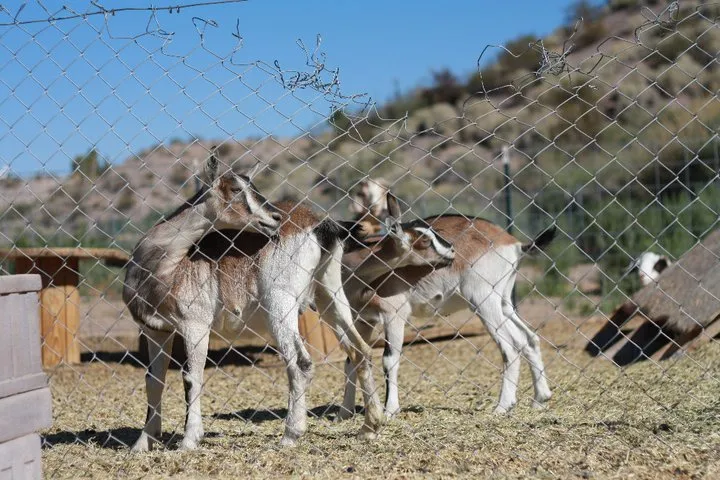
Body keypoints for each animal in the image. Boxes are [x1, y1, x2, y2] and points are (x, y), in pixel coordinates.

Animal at [340, 189, 555, 418]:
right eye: (424, 240)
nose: (451, 250)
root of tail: (513, 243)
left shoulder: (394, 316)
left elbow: (389, 360)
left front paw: (389, 411)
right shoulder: (363, 321)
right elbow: (352, 360)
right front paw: (344, 412)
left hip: (483, 303)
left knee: (510, 347)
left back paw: (502, 406)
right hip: (503, 303)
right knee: (529, 339)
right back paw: (540, 399)